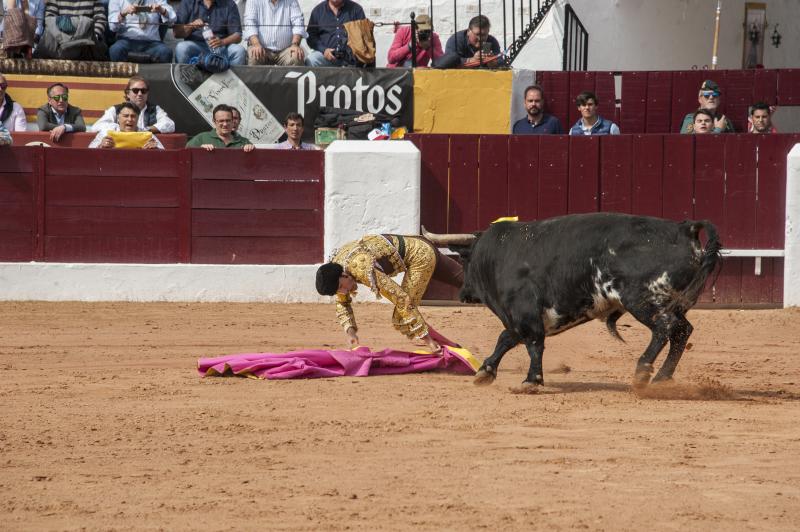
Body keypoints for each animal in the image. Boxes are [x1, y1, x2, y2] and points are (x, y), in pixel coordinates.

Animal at [424, 212, 724, 390]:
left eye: (466, 259)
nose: (464, 293)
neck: (500, 254)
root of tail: (683, 229)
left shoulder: (524, 311)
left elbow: (531, 343)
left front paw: (531, 380)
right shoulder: (520, 318)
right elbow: (507, 339)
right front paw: (486, 371)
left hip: (642, 299)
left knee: (664, 328)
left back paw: (642, 372)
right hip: (670, 301)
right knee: (682, 330)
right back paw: (662, 377)